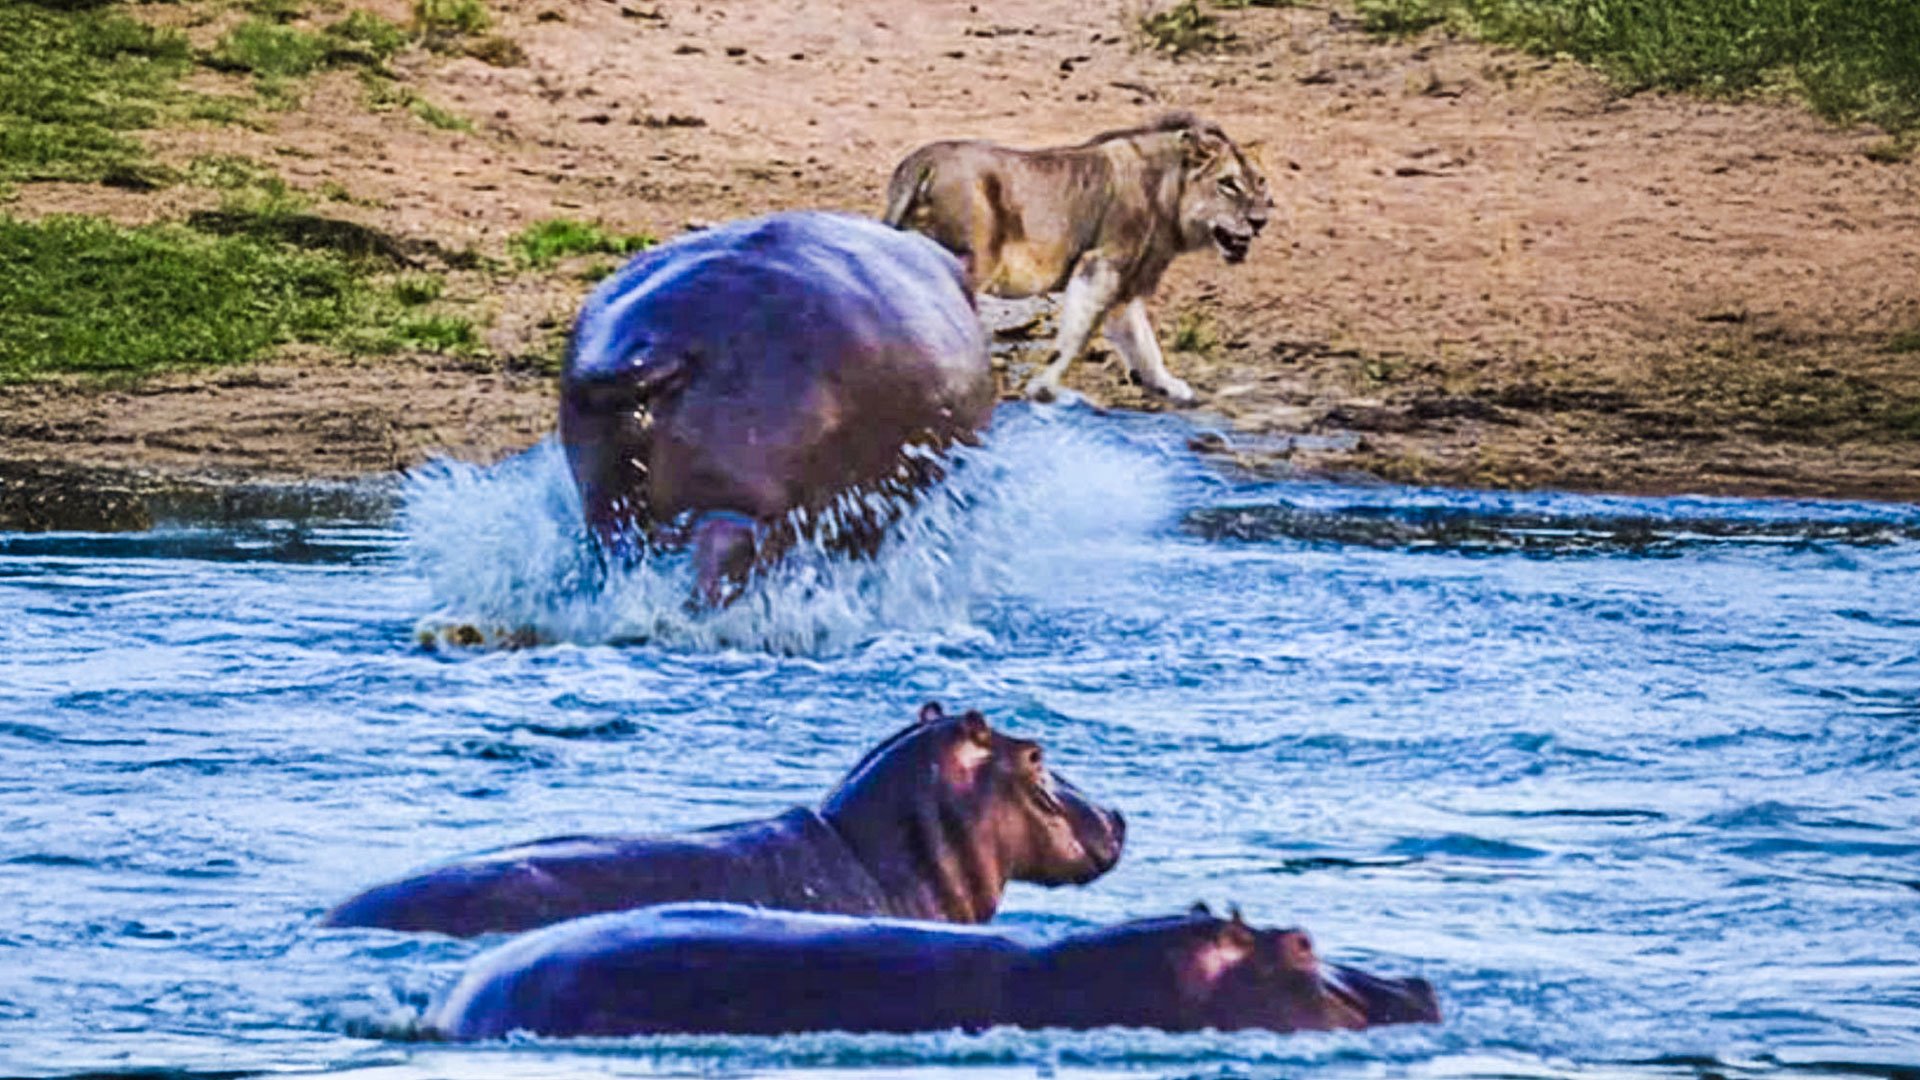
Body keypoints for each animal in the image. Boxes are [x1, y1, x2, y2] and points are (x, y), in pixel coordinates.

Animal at [883, 113, 1273, 404]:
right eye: (1228, 184)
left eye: (1261, 181)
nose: (1260, 221)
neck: (1169, 194)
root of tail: (922, 161)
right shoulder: (1100, 264)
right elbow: (1076, 335)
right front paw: (1044, 388)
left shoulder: (1127, 286)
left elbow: (1143, 343)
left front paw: (1169, 386)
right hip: (967, 263)